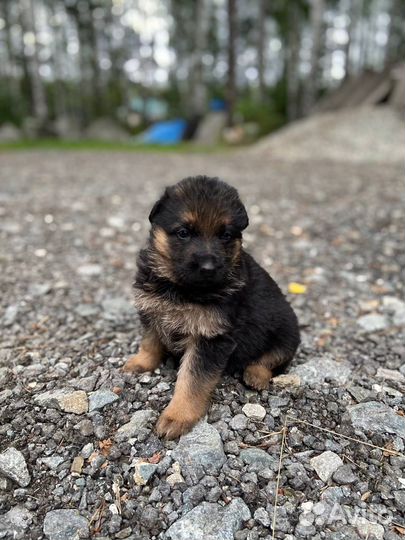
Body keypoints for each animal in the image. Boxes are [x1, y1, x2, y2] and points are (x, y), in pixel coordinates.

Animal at [124, 177, 300, 438]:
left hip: (287, 331)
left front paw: (177, 416)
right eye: (183, 233)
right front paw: (141, 363)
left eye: (225, 235)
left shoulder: (211, 338)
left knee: (274, 358)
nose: (207, 267)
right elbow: (150, 342)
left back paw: (255, 374)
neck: (182, 289)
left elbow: (192, 380)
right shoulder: (152, 309)